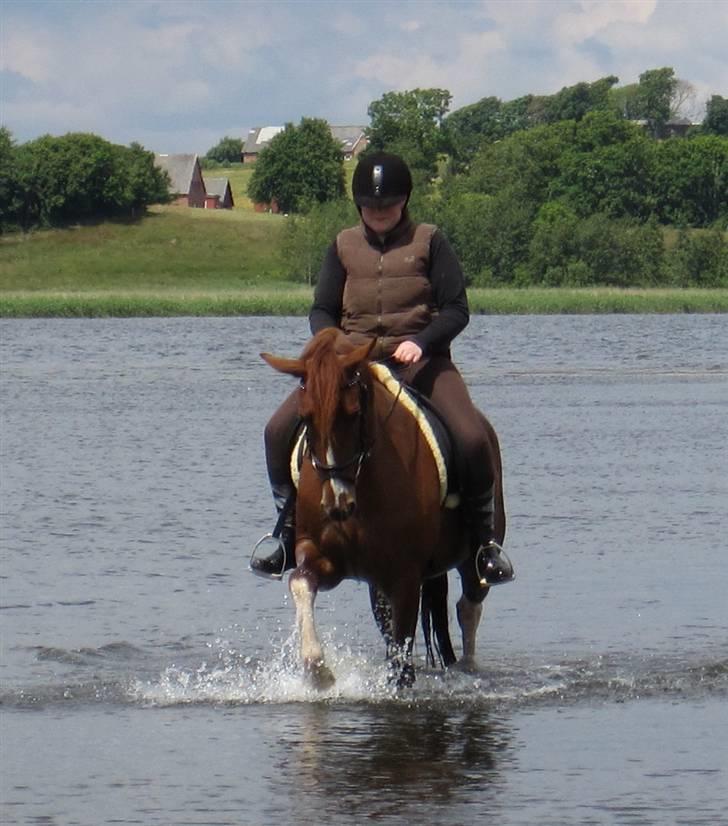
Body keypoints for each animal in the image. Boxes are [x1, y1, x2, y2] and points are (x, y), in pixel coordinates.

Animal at [262, 326, 506, 684]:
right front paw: (319, 671)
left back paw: (469, 666)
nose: (337, 504)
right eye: (305, 417)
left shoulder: (405, 577)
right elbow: (301, 583)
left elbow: (401, 661)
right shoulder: (325, 558)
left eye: (353, 414)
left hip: (472, 558)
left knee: (469, 605)